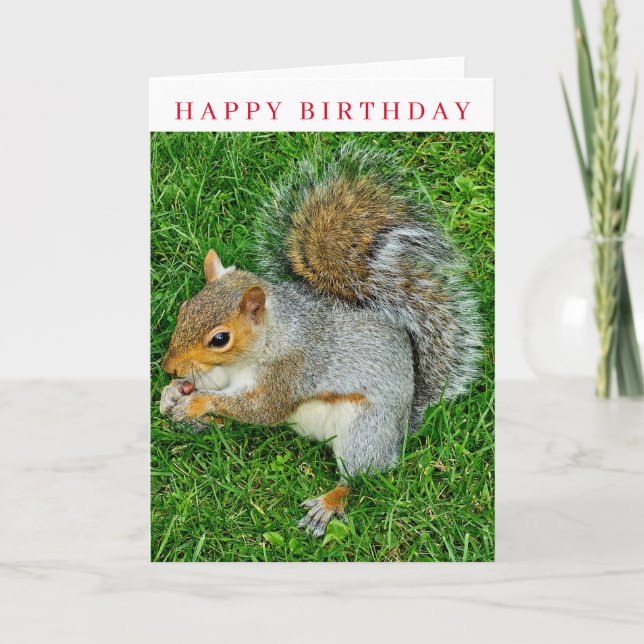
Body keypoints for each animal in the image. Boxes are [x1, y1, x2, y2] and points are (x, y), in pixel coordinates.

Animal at [159, 143, 482, 537]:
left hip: (365, 430)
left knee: (359, 475)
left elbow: (262, 408)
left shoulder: (291, 369)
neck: (270, 340)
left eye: (220, 338)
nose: (167, 366)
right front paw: (173, 391)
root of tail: (403, 427)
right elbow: (217, 384)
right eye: (184, 308)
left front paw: (197, 403)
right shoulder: (228, 373)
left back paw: (328, 504)